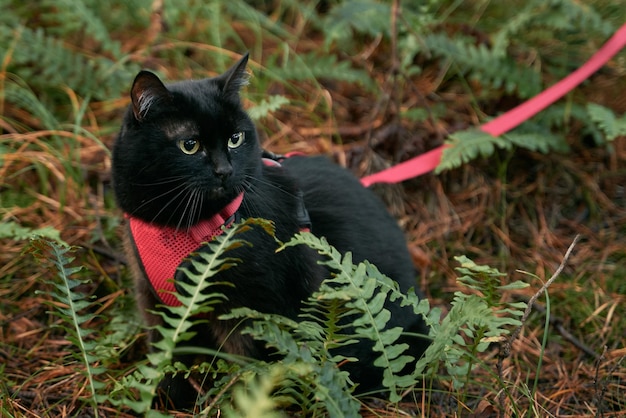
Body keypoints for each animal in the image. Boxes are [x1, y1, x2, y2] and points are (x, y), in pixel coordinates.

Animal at [111, 53, 428, 412]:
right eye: (189, 145)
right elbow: (166, 358)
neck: (182, 226)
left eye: (235, 139)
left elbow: (247, 371)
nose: (225, 170)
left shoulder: (252, 311)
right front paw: (162, 402)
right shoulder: (156, 302)